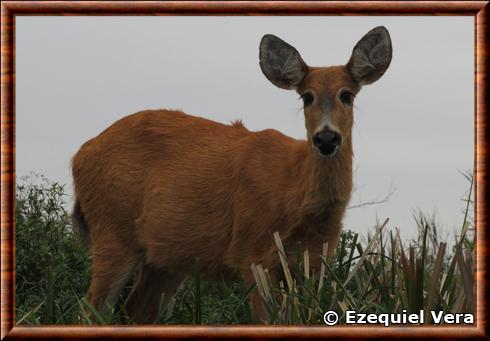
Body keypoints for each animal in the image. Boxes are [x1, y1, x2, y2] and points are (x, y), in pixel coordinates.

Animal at [71, 25, 392, 322]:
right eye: (306, 97)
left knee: (134, 311)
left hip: (166, 258)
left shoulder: (312, 263)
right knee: (89, 309)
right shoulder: (252, 252)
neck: (293, 191)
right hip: (112, 228)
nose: (326, 138)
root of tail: (80, 155)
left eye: (347, 95)